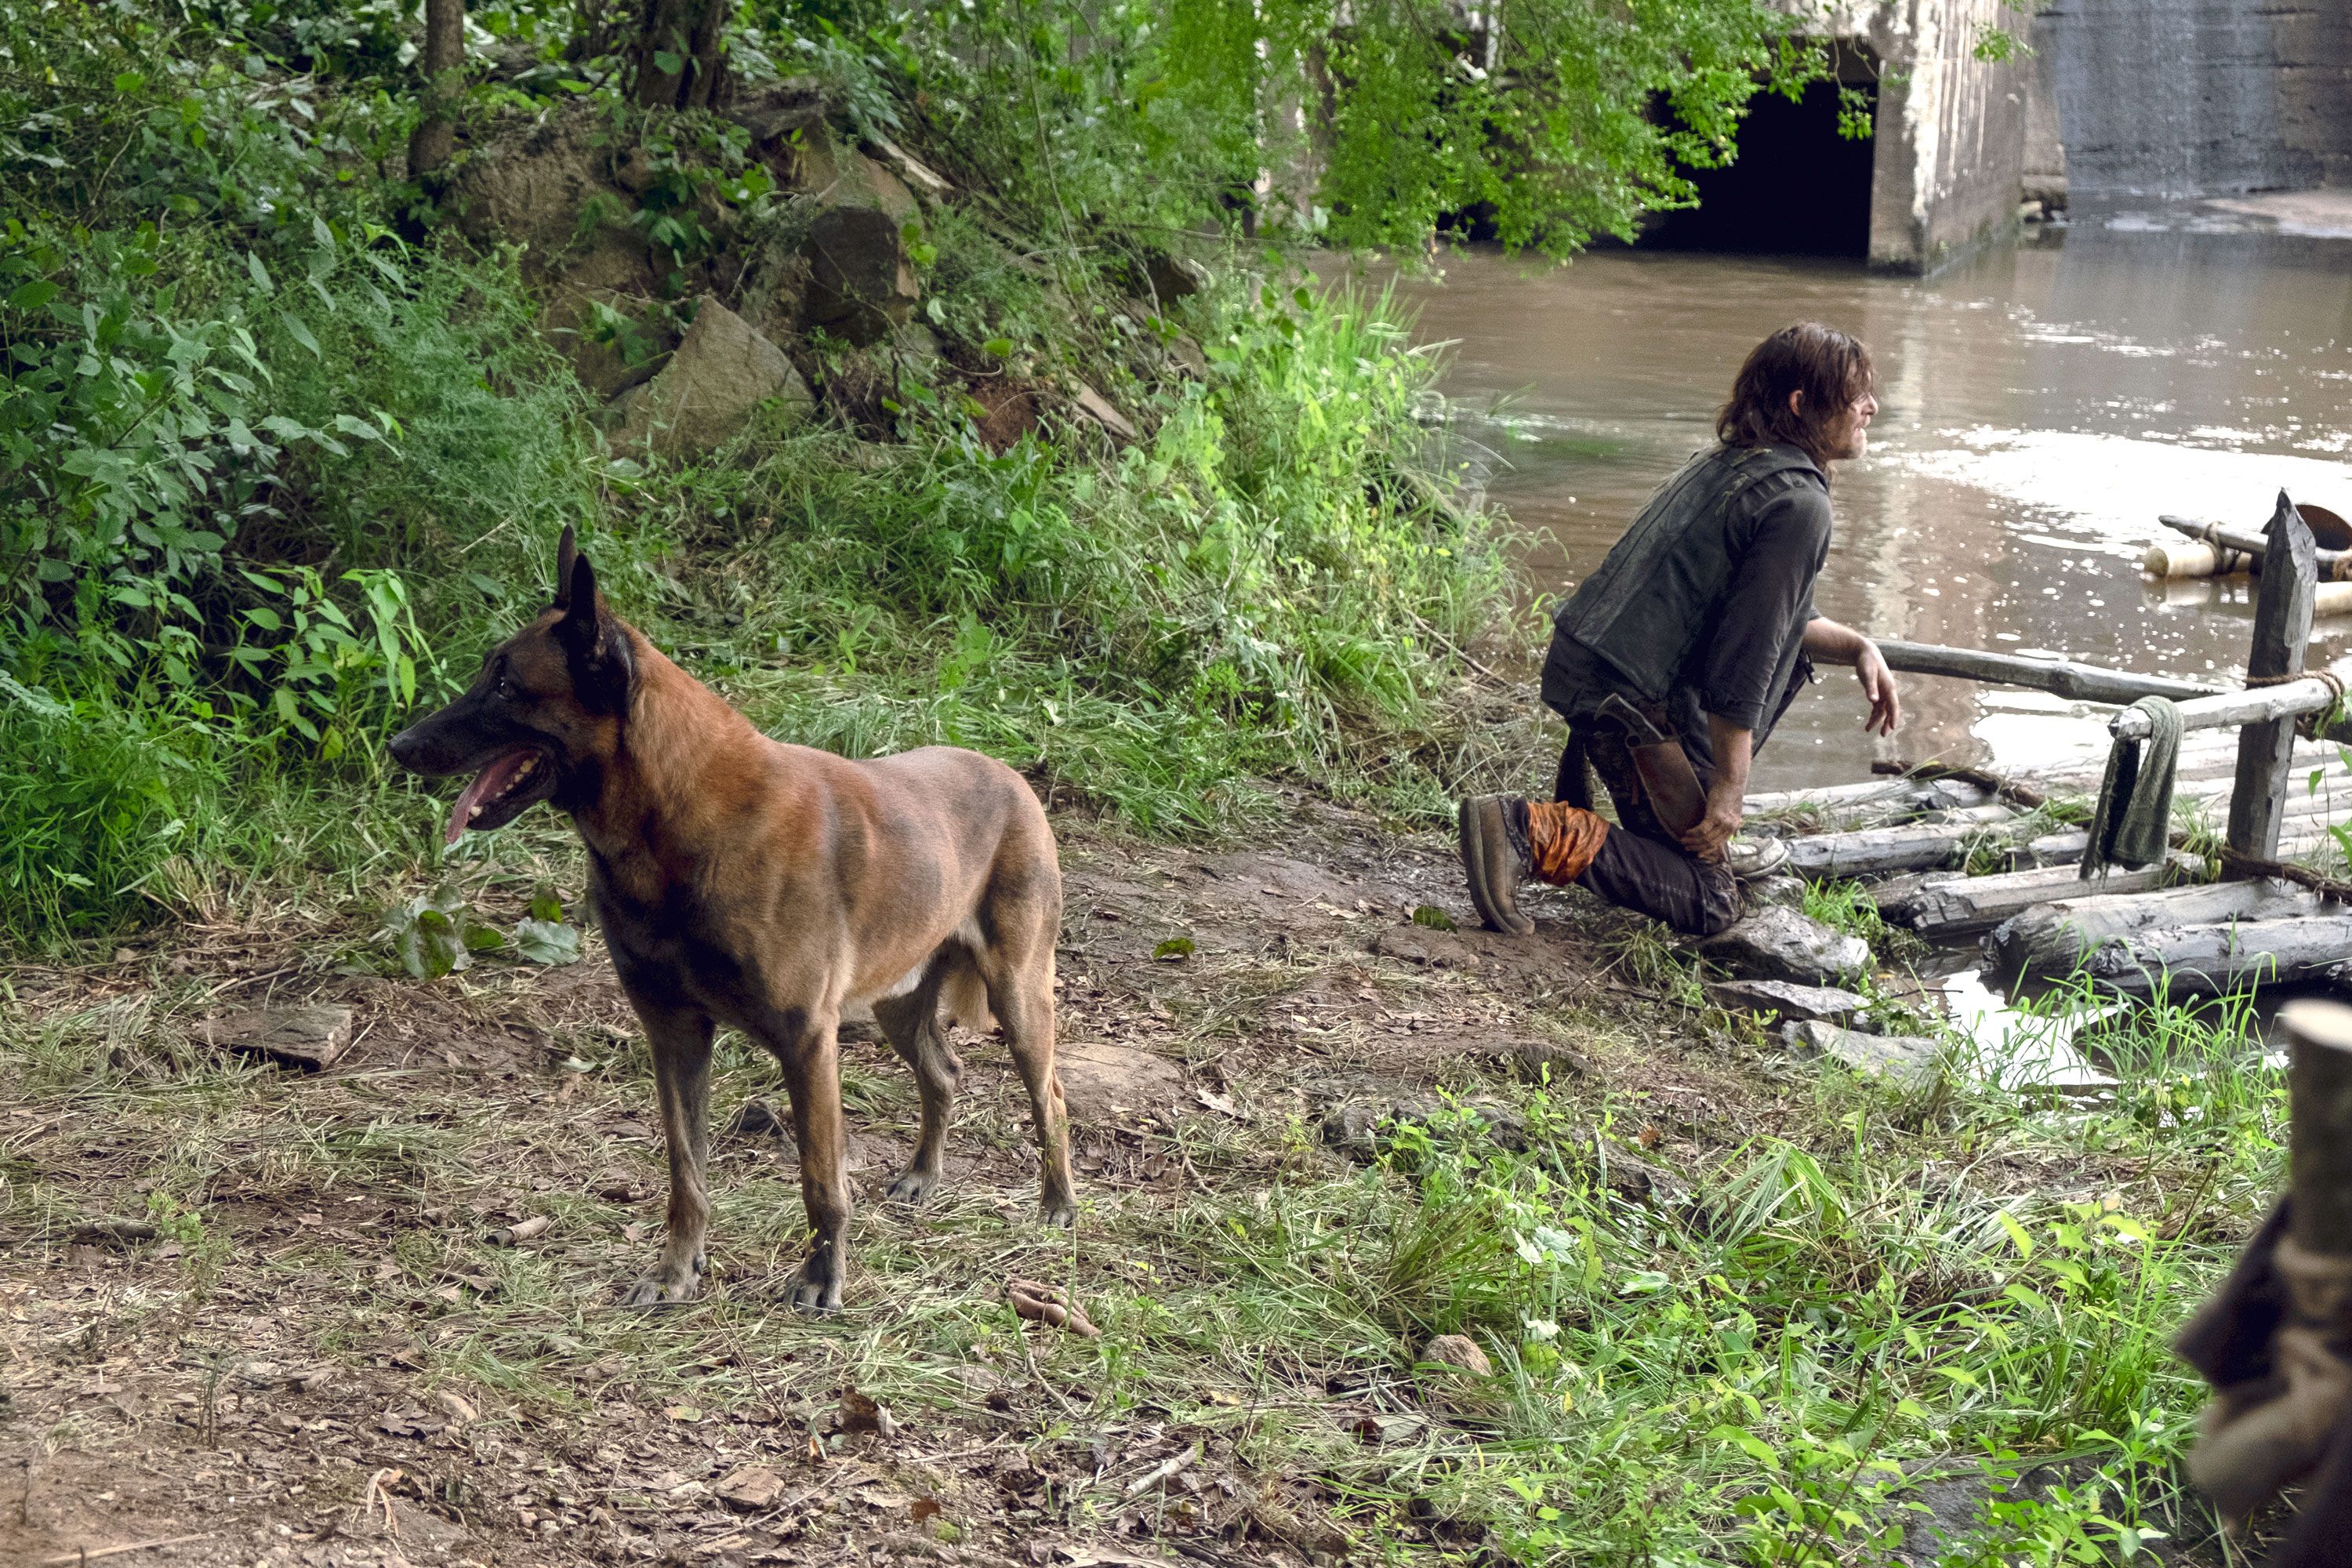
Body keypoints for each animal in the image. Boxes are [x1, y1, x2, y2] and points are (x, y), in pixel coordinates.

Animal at [393, 526, 1077, 1316]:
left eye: (505, 685)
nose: (400, 746)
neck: (673, 816)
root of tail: (1013, 776)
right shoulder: (674, 1035)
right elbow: (686, 1172)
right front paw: (675, 1272)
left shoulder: (806, 1042)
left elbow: (820, 1181)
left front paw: (821, 1278)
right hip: (899, 1004)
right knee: (943, 1071)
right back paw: (923, 1177)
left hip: (1018, 996)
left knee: (1050, 1096)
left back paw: (1058, 1205)